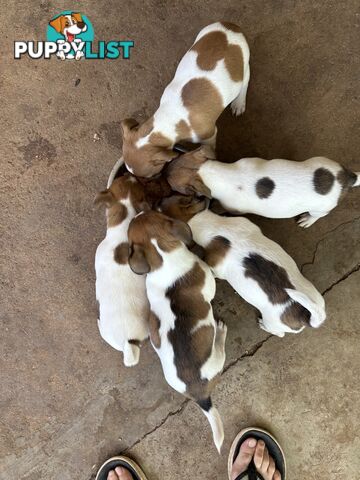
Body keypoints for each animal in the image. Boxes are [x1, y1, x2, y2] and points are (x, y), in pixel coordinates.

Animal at [121, 21, 250, 177]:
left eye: (151, 176)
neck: (169, 117)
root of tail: (231, 25)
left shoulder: (210, 134)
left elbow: (210, 146)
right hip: (201, 35)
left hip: (244, 65)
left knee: (245, 80)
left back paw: (239, 103)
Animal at [128, 209, 226, 450]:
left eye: (149, 212)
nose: (139, 210)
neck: (163, 257)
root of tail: (200, 396)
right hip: (217, 359)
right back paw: (220, 333)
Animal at [160, 195, 326, 338]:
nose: (157, 201)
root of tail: (305, 316)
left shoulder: (216, 268)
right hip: (316, 298)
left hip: (273, 323)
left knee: (279, 333)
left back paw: (264, 326)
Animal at [167, 145, 360, 228]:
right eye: (174, 159)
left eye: (173, 186)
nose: (164, 172)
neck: (215, 174)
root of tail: (347, 177)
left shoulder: (232, 208)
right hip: (319, 160)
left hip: (320, 208)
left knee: (318, 215)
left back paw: (307, 220)